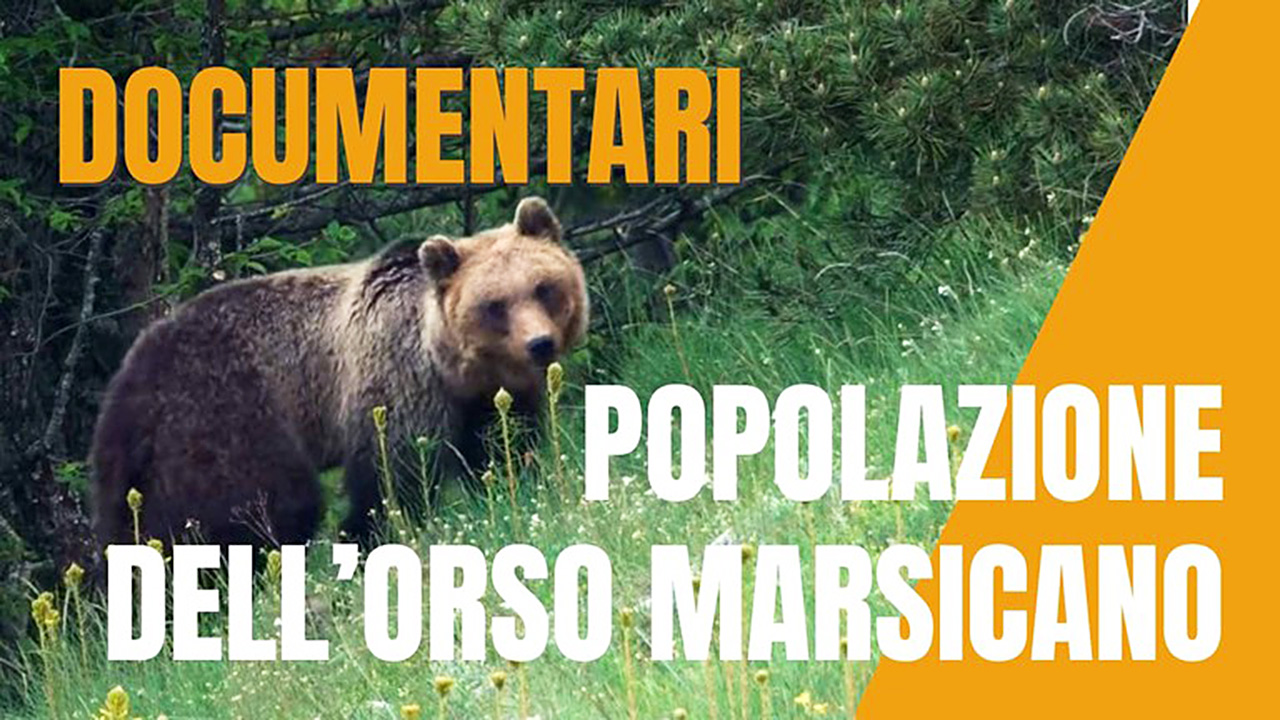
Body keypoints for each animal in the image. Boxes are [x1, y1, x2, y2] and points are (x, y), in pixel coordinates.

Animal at [90, 197, 588, 547]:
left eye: (543, 288)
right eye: (495, 305)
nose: (540, 344)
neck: (451, 365)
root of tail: (125, 386)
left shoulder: (487, 399)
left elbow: (504, 446)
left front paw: (516, 484)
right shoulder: (395, 377)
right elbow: (391, 471)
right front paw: (368, 535)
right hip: (223, 417)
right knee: (268, 505)